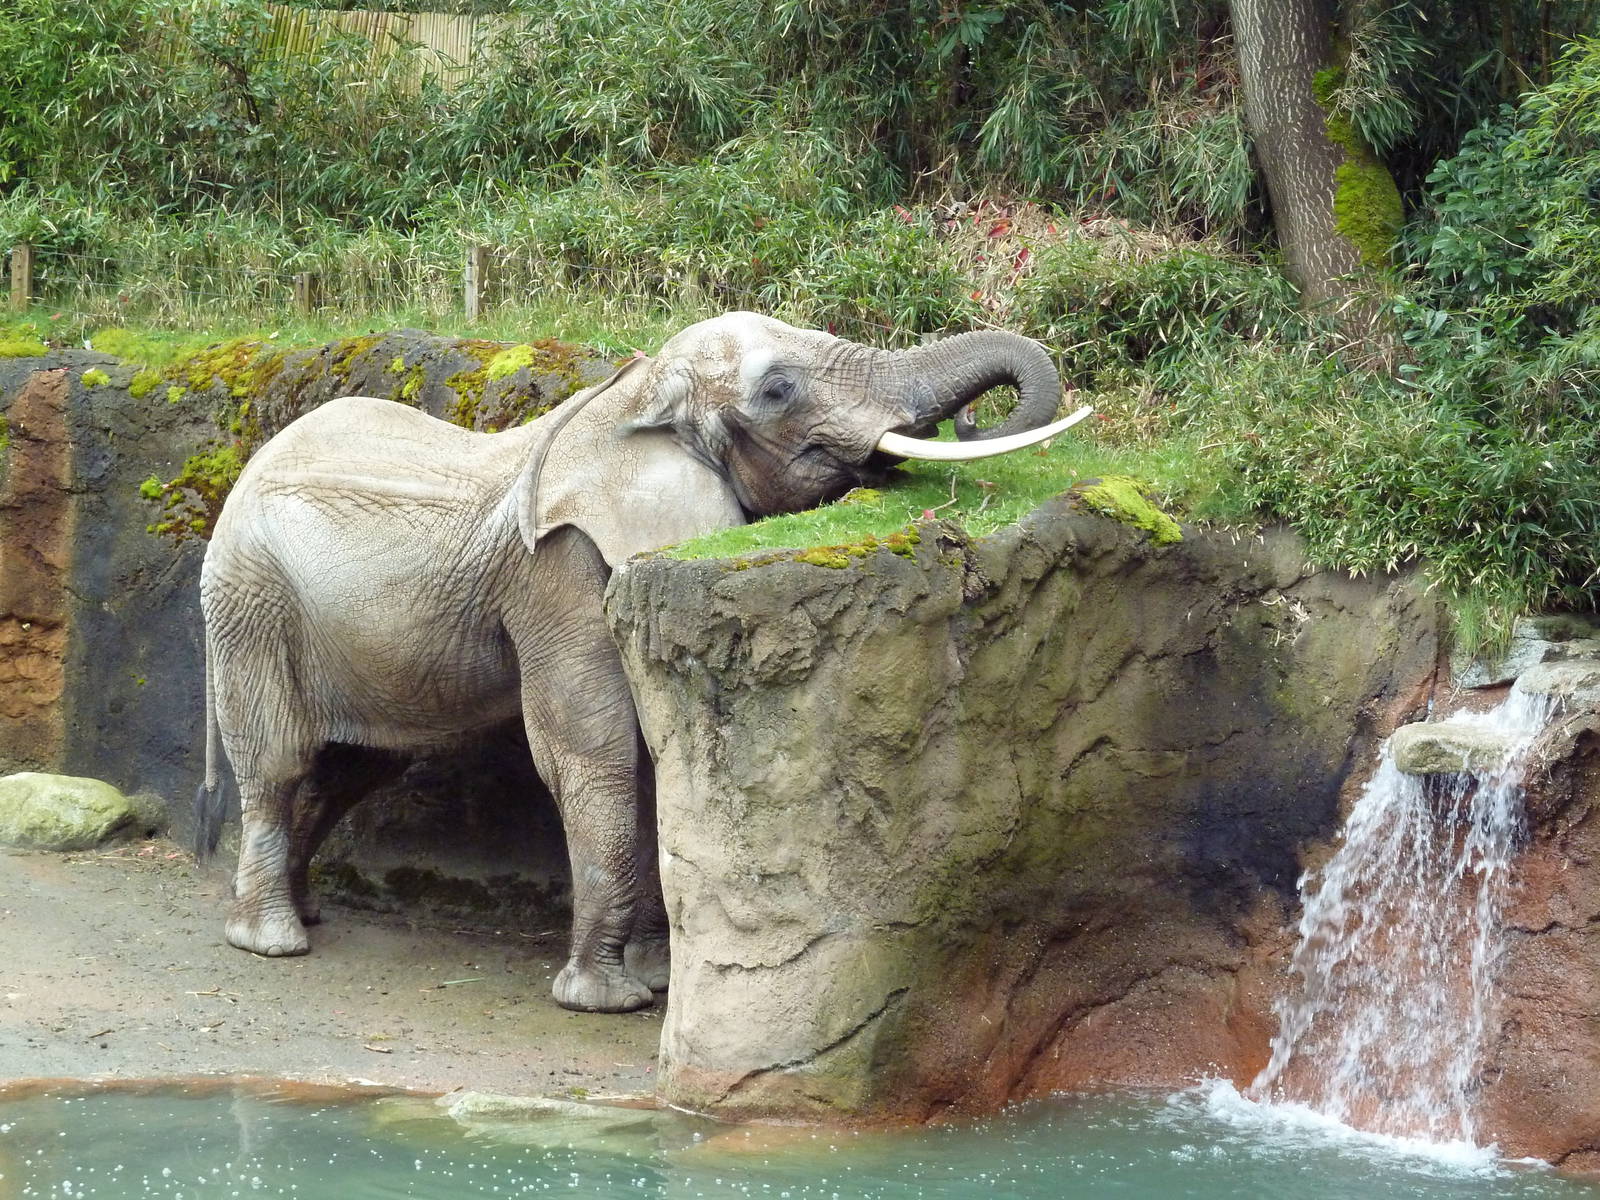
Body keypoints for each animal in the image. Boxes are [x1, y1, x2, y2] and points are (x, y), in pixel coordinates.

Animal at [192, 311, 1088, 1012]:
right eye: (778, 390)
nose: (966, 426)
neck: (633, 397)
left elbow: (662, 752)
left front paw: (655, 975)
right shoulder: (558, 571)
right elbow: (595, 751)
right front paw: (608, 999)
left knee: (356, 765)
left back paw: (287, 915)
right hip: (250, 598)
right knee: (281, 759)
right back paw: (271, 942)